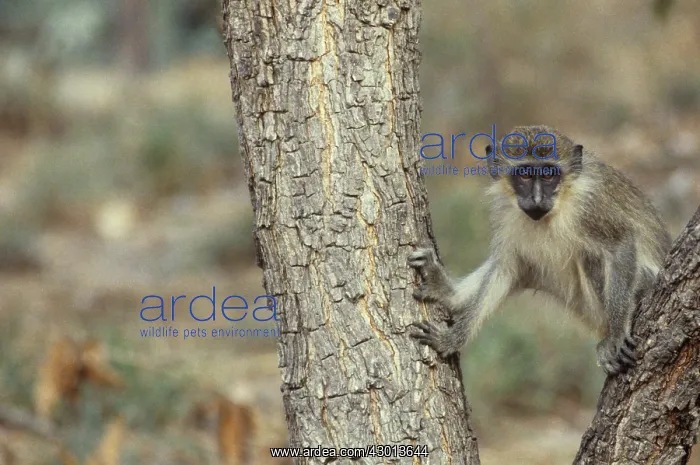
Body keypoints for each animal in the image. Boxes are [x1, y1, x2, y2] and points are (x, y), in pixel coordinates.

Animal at [409, 125, 672, 375]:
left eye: (548, 175)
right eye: (525, 175)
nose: (536, 200)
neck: (561, 202)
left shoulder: (589, 207)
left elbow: (621, 244)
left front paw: (617, 333)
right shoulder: (506, 216)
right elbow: (506, 270)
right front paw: (454, 338)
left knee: (591, 257)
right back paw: (447, 292)